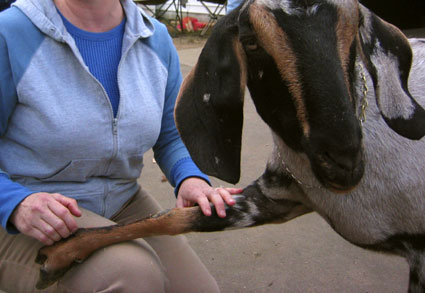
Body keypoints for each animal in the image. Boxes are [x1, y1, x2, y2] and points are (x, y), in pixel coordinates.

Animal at [35, 0, 424, 290]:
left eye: (354, 26)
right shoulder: (276, 196)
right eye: (251, 41)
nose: (342, 160)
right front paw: (60, 253)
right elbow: (174, 218)